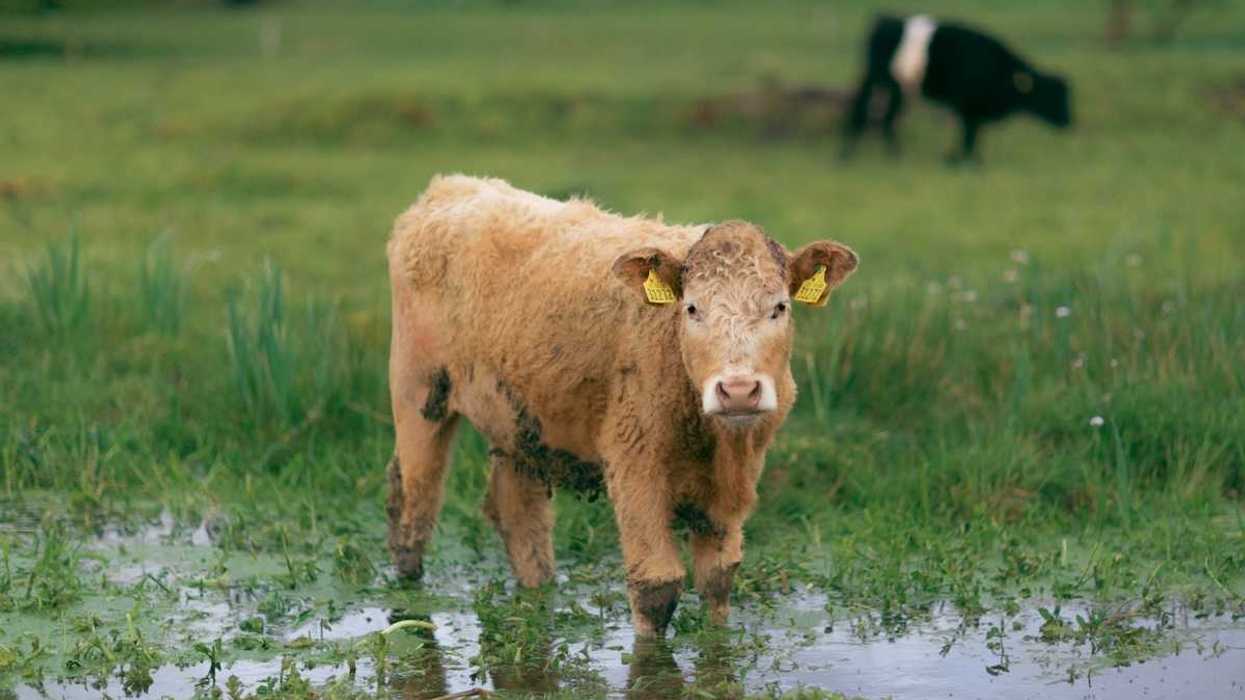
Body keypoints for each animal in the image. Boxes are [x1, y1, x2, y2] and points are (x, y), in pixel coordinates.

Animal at [384, 175, 858, 637]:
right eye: (692, 309)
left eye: (780, 307)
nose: (738, 390)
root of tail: (449, 186)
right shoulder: (635, 463)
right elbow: (656, 585)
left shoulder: (733, 483)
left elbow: (719, 577)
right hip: (418, 393)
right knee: (414, 505)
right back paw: (408, 604)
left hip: (519, 423)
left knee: (517, 512)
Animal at [841, 14, 1073, 163]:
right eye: (1053, 96)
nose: (1068, 121)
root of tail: (885, 21)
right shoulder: (968, 107)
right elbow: (969, 135)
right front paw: (965, 162)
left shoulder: (973, 109)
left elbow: (971, 135)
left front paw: (962, 159)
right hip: (878, 80)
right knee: (862, 112)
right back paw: (848, 157)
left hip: (897, 87)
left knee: (886, 120)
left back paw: (893, 157)